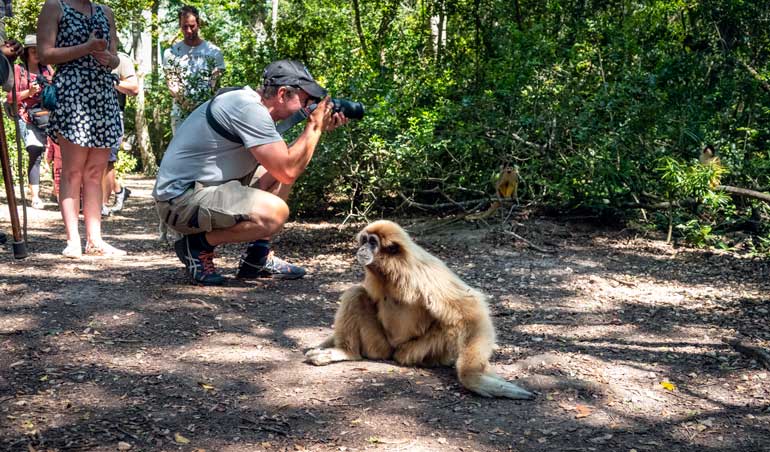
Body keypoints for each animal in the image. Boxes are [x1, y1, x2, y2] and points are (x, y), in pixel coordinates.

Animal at [306, 220, 536, 400]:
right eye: (364, 240)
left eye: (373, 243)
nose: (363, 249)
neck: (393, 270)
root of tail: (391, 351)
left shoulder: (424, 272)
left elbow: (470, 310)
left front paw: (474, 378)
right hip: (378, 346)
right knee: (357, 294)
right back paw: (345, 351)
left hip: (416, 350)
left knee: (452, 324)